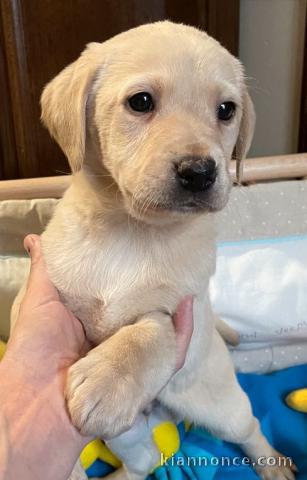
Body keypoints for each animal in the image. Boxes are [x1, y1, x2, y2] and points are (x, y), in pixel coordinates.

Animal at [12, 21, 296, 480]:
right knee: (145, 459)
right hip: (128, 435)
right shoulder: (38, 296)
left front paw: (107, 381)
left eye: (226, 110)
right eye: (141, 102)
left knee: (249, 428)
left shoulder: (180, 310)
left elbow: (149, 333)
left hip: (220, 404)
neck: (133, 232)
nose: (200, 172)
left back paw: (275, 466)